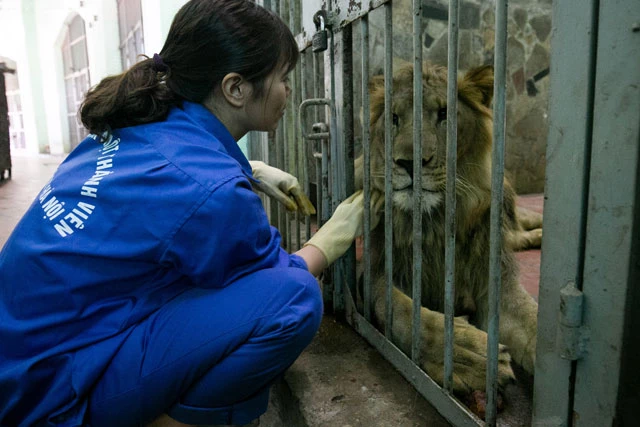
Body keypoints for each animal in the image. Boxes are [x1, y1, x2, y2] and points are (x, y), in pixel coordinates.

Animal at [356, 62, 540, 398]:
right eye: (394, 118)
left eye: (444, 114)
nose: (409, 163)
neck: (435, 223)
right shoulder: (373, 271)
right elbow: (401, 310)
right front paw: (466, 355)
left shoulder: (495, 282)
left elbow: (534, 323)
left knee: (521, 225)